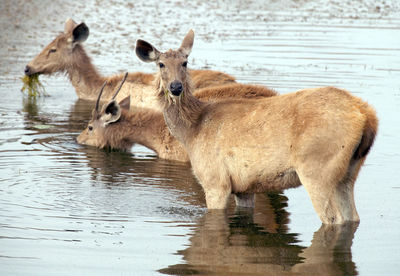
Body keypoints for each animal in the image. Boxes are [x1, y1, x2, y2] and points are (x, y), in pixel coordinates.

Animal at [134, 29, 378, 224]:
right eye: (161, 64)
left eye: (185, 63)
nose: (176, 87)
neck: (191, 131)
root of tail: (368, 116)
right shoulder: (244, 188)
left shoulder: (215, 180)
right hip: (349, 171)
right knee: (352, 217)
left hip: (317, 169)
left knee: (334, 219)